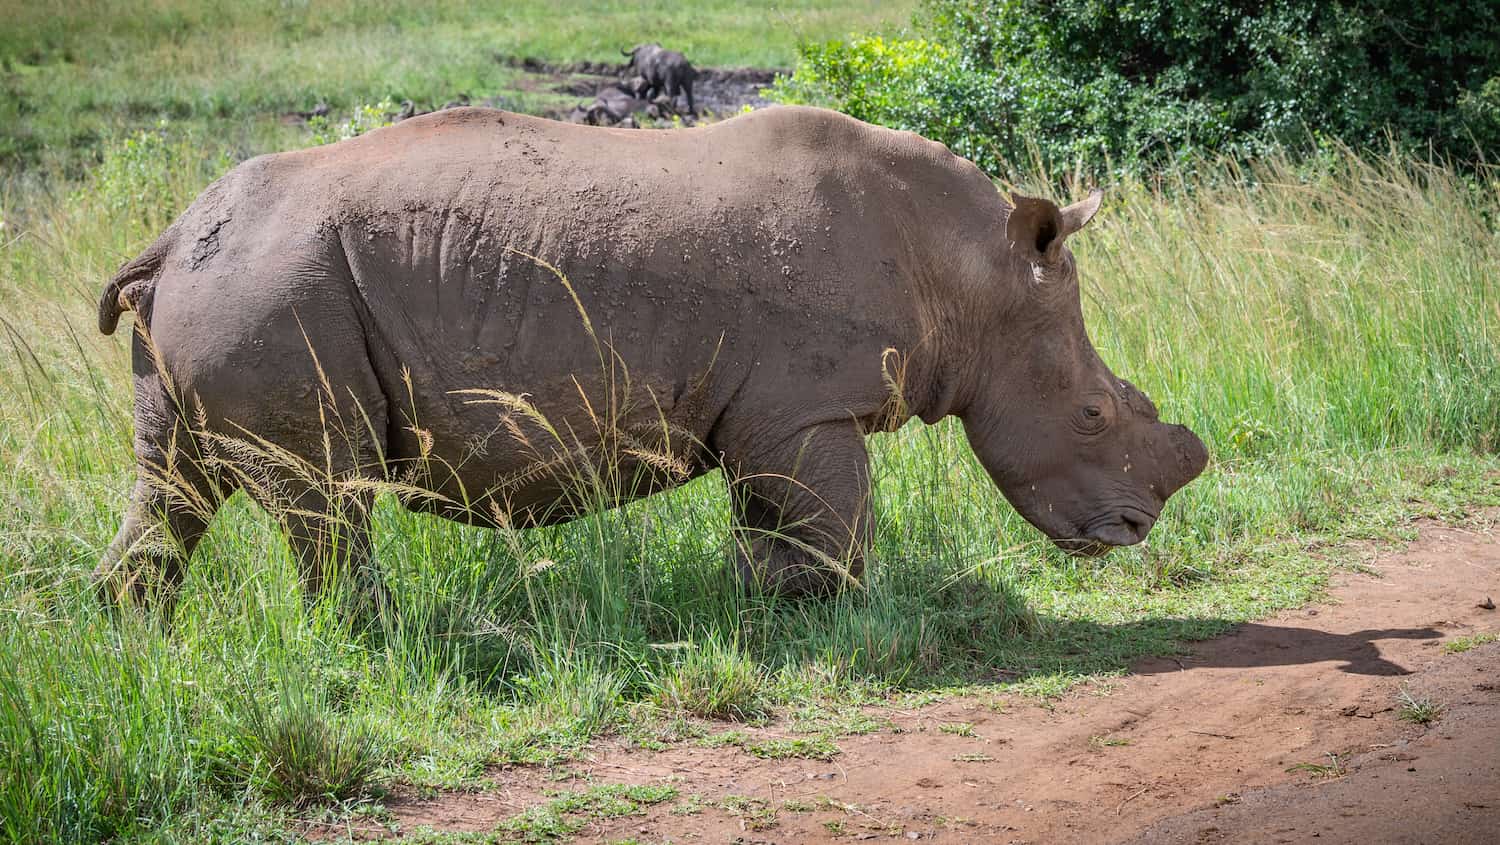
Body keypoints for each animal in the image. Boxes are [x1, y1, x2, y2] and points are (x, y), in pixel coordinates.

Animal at [94, 106, 1208, 609]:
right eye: (1094, 415)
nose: (1135, 529)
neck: (970, 273)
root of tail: (169, 235)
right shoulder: (809, 409)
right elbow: (838, 528)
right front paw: (838, 620)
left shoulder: (772, 415)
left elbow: (780, 528)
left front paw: (767, 609)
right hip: (274, 293)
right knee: (327, 495)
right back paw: (380, 637)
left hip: (226, 287)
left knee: (170, 484)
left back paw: (139, 638)